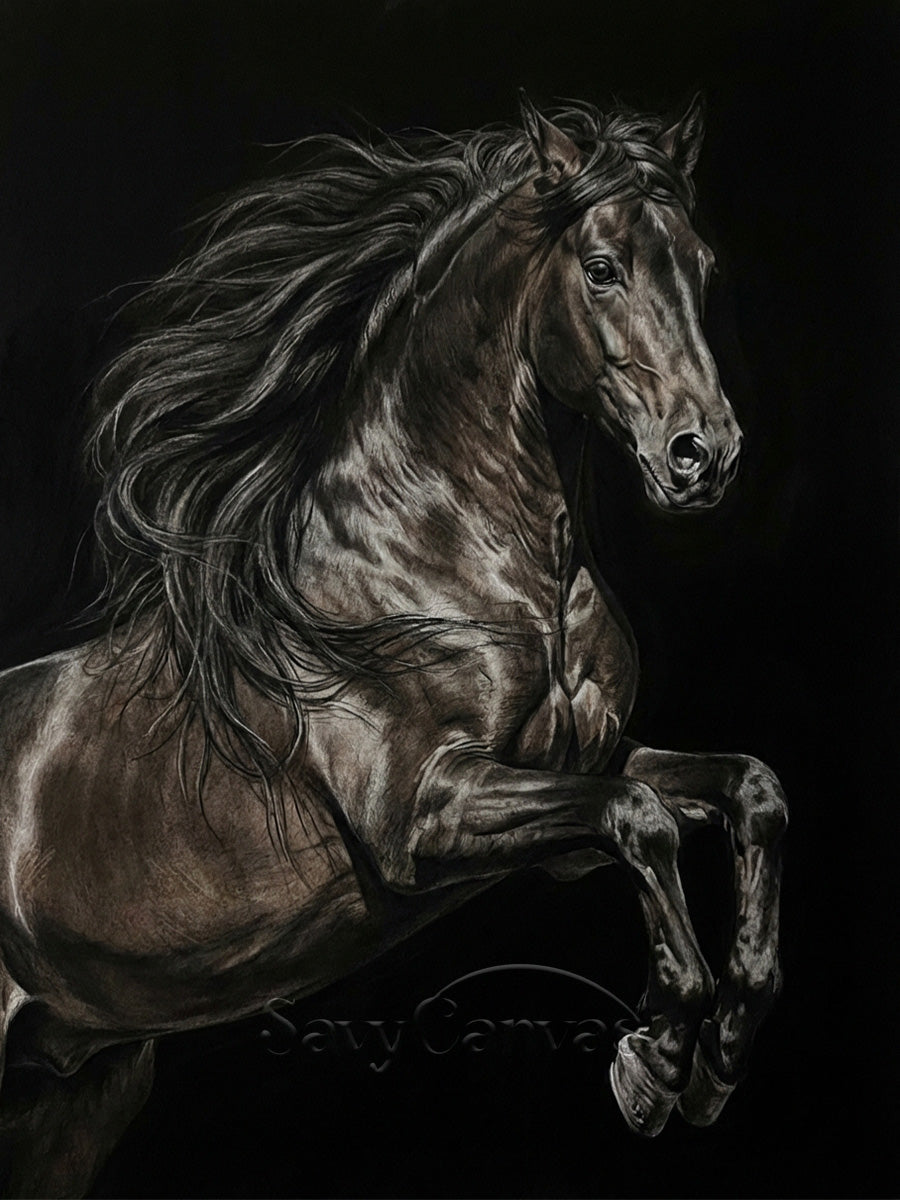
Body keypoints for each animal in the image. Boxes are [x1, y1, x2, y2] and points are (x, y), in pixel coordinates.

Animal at [0, 93, 787, 1197]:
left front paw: (716, 1059)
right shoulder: (426, 811)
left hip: (65, 1103)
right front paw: (654, 1063)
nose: (702, 456)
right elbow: (644, 822)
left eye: (703, 265)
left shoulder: (581, 780)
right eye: (601, 267)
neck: (443, 560)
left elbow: (747, 790)